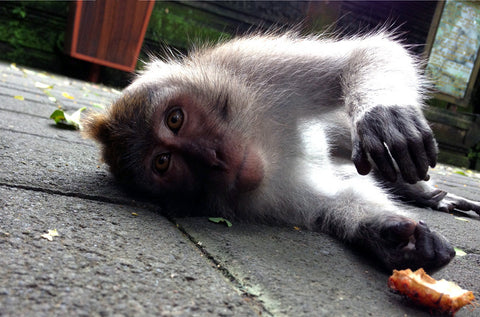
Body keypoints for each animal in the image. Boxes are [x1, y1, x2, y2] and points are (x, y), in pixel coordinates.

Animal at [82, 31, 480, 270]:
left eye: (175, 118)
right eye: (163, 162)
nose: (214, 158)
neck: (260, 139)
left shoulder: (253, 64)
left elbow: (363, 55)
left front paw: (384, 114)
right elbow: (334, 200)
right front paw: (389, 236)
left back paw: (422, 190)